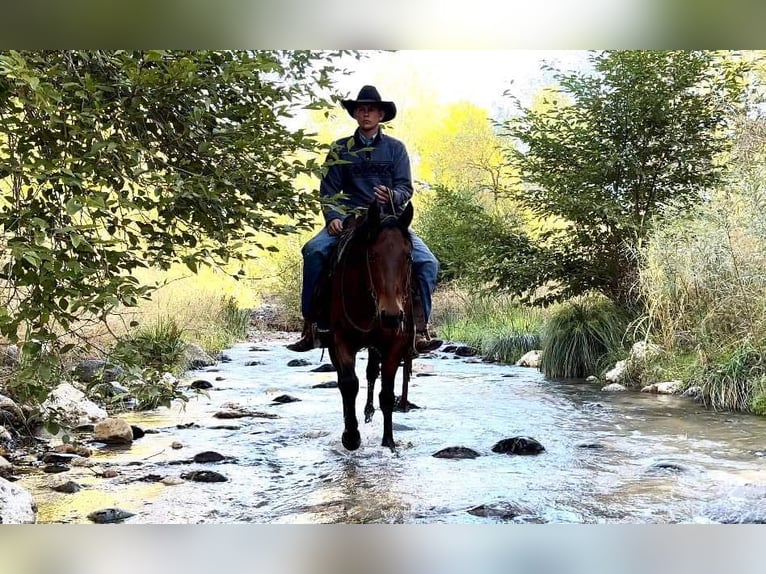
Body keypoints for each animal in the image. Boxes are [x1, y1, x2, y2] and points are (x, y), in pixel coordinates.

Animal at [328, 200, 415, 451]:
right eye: (373, 255)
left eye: (408, 256)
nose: (391, 315)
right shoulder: (340, 339)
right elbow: (348, 384)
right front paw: (351, 436)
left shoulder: (396, 343)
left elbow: (387, 393)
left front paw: (389, 442)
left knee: (372, 373)